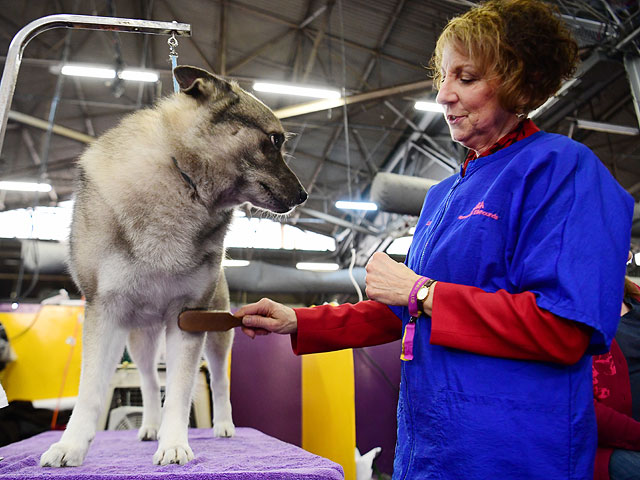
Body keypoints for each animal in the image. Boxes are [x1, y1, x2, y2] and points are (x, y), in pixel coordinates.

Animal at [39, 65, 308, 466]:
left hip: (217, 334)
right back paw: (150, 425)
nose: (304, 195)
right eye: (274, 140)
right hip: (139, 340)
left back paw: (222, 425)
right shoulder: (104, 311)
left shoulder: (188, 318)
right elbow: (90, 391)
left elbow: (180, 392)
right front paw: (70, 445)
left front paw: (175, 444)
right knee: (151, 382)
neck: (183, 177)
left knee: (219, 381)